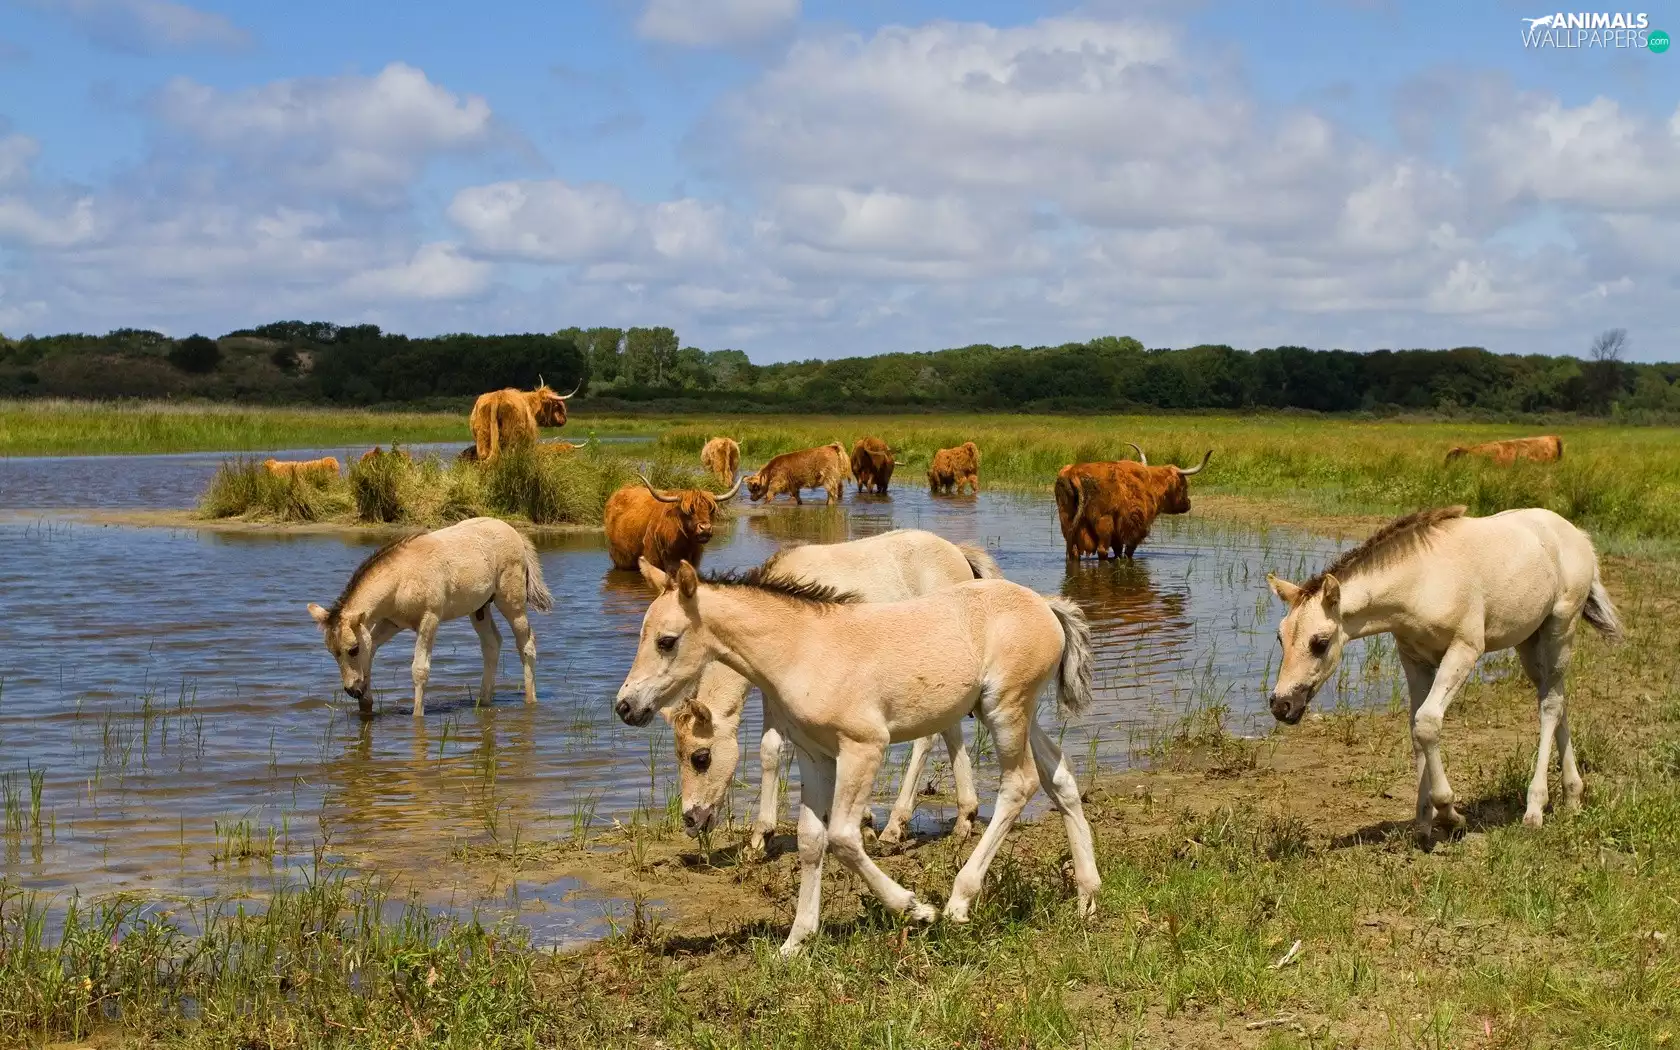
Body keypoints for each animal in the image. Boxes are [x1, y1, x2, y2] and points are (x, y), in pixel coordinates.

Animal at [1054, 443, 1211, 560]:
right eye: (1184, 485)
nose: (1188, 503)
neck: (1151, 484)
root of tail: (1074, 472)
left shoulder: (1118, 532)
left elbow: (1118, 550)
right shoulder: (1137, 526)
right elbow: (1128, 551)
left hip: (1067, 520)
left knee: (1074, 551)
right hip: (1104, 521)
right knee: (1102, 550)